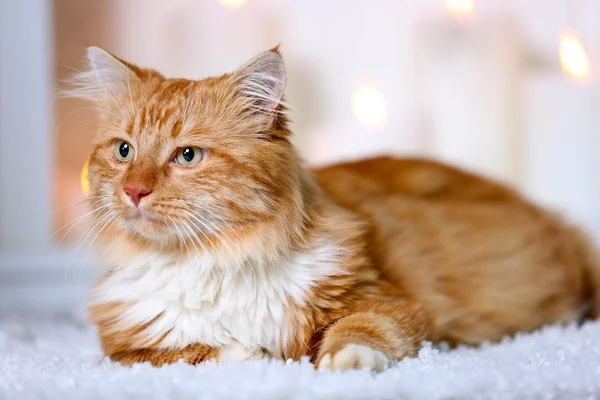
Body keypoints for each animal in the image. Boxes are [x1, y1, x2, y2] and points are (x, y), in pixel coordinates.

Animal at [67, 46, 600, 372]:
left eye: (188, 156)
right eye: (123, 151)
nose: (134, 191)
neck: (214, 260)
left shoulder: (386, 300)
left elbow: (358, 331)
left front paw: (342, 364)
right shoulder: (127, 351)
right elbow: (201, 353)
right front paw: (256, 358)